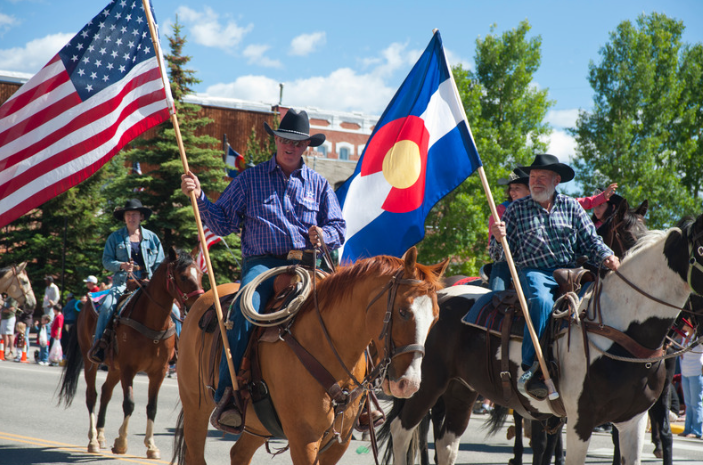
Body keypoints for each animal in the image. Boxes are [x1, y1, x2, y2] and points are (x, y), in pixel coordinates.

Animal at [58, 246, 202, 456]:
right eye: (183, 276)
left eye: (200, 274)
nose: (199, 303)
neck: (152, 322)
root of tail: (84, 304)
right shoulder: (128, 369)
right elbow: (129, 404)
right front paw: (121, 442)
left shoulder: (159, 372)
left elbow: (152, 407)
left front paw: (151, 446)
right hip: (90, 361)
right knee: (92, 396)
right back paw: (93, 440)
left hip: (114, 367)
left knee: (106, 392)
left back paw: (101, 437)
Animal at [173, 246, 448, 464]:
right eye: (403, 312)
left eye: (436, 318)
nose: (409, 384)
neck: (326, 345)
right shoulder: (304, 439)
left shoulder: (339, 441)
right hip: (195, 406)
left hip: (257, 425)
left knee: (239, 454)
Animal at [382, 211, 703, 464]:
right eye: (701, 249)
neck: (619, 329)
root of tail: (441, 294)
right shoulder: (580, 421)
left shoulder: (632, 422)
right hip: (424, 384)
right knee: (402, 431)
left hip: (461, 390)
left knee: (447, 443)